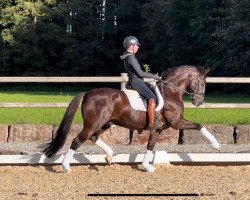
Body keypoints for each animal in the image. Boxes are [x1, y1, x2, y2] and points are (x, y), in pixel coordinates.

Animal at [42, 65, 221, 172]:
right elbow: (199, 125)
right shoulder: (176, 123)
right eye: (202, 83)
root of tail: (87, 93)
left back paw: (109, 156)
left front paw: (147, 167)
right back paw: (66, 166)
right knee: (77, 140)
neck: (171, 92)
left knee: (93, 137)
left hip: (105, 123)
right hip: (93, 124)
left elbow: (150, 146)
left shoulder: (157, 129)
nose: (199, 102)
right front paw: (216, 145)